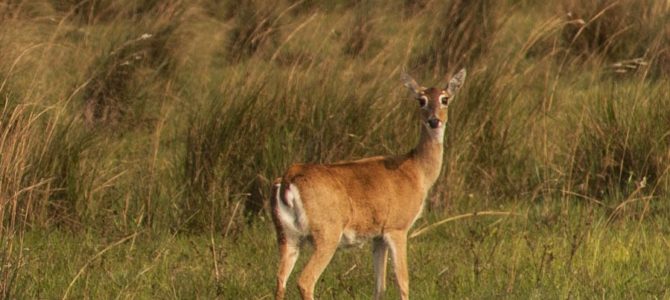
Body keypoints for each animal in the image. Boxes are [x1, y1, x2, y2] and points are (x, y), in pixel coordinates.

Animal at [270, 69, 470, 298]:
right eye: (421, 100)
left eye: (445, 99)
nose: (434, 120)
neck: (417, 170)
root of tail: (288, 178)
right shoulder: (397, 227)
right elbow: (403, 281)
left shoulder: (378, 236)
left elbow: (379, 285)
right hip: (327, 232)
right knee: (305, 281)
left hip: (286, 236)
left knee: (280, 280)